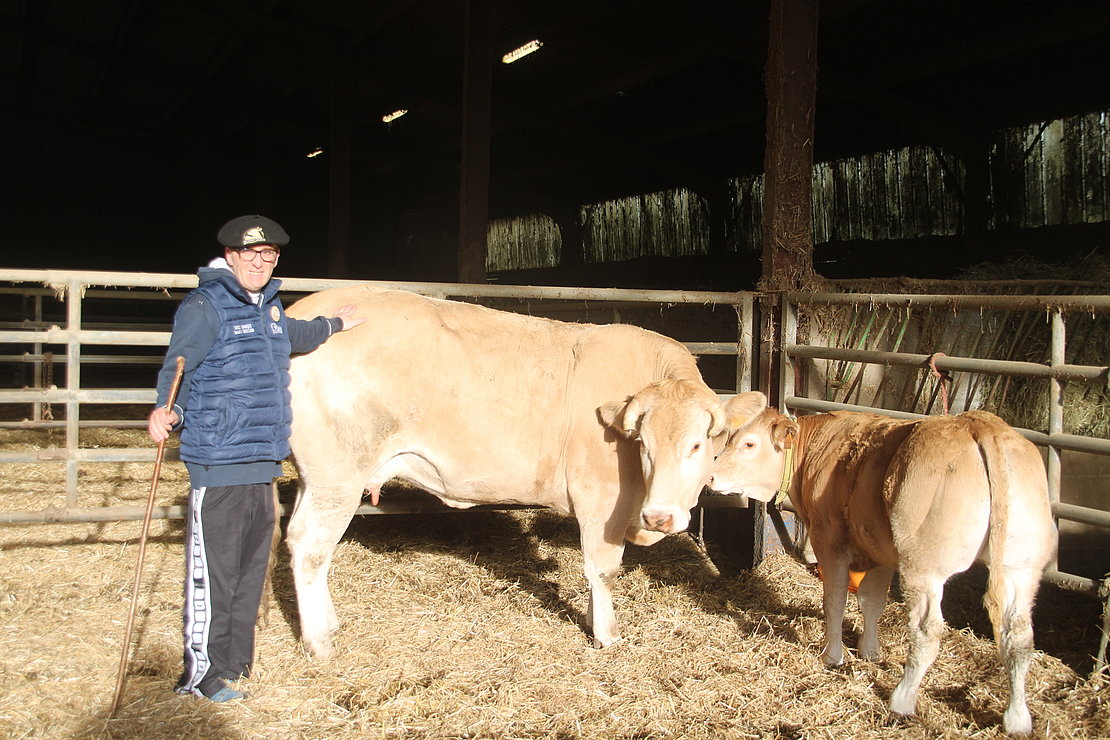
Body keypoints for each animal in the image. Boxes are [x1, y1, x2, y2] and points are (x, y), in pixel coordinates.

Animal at [705, 392, 1052, 736]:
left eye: (749, 443)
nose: (711, 475)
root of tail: (980, 424)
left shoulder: (830, 540)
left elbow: (835, 600)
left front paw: (833, 656)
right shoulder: (880, 550)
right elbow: (871, 601)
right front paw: (870, 652)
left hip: (923, 569)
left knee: (927, 632)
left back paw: (902, 699)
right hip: (1020, 568)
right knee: (1019, 637)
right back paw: (1017, 718)